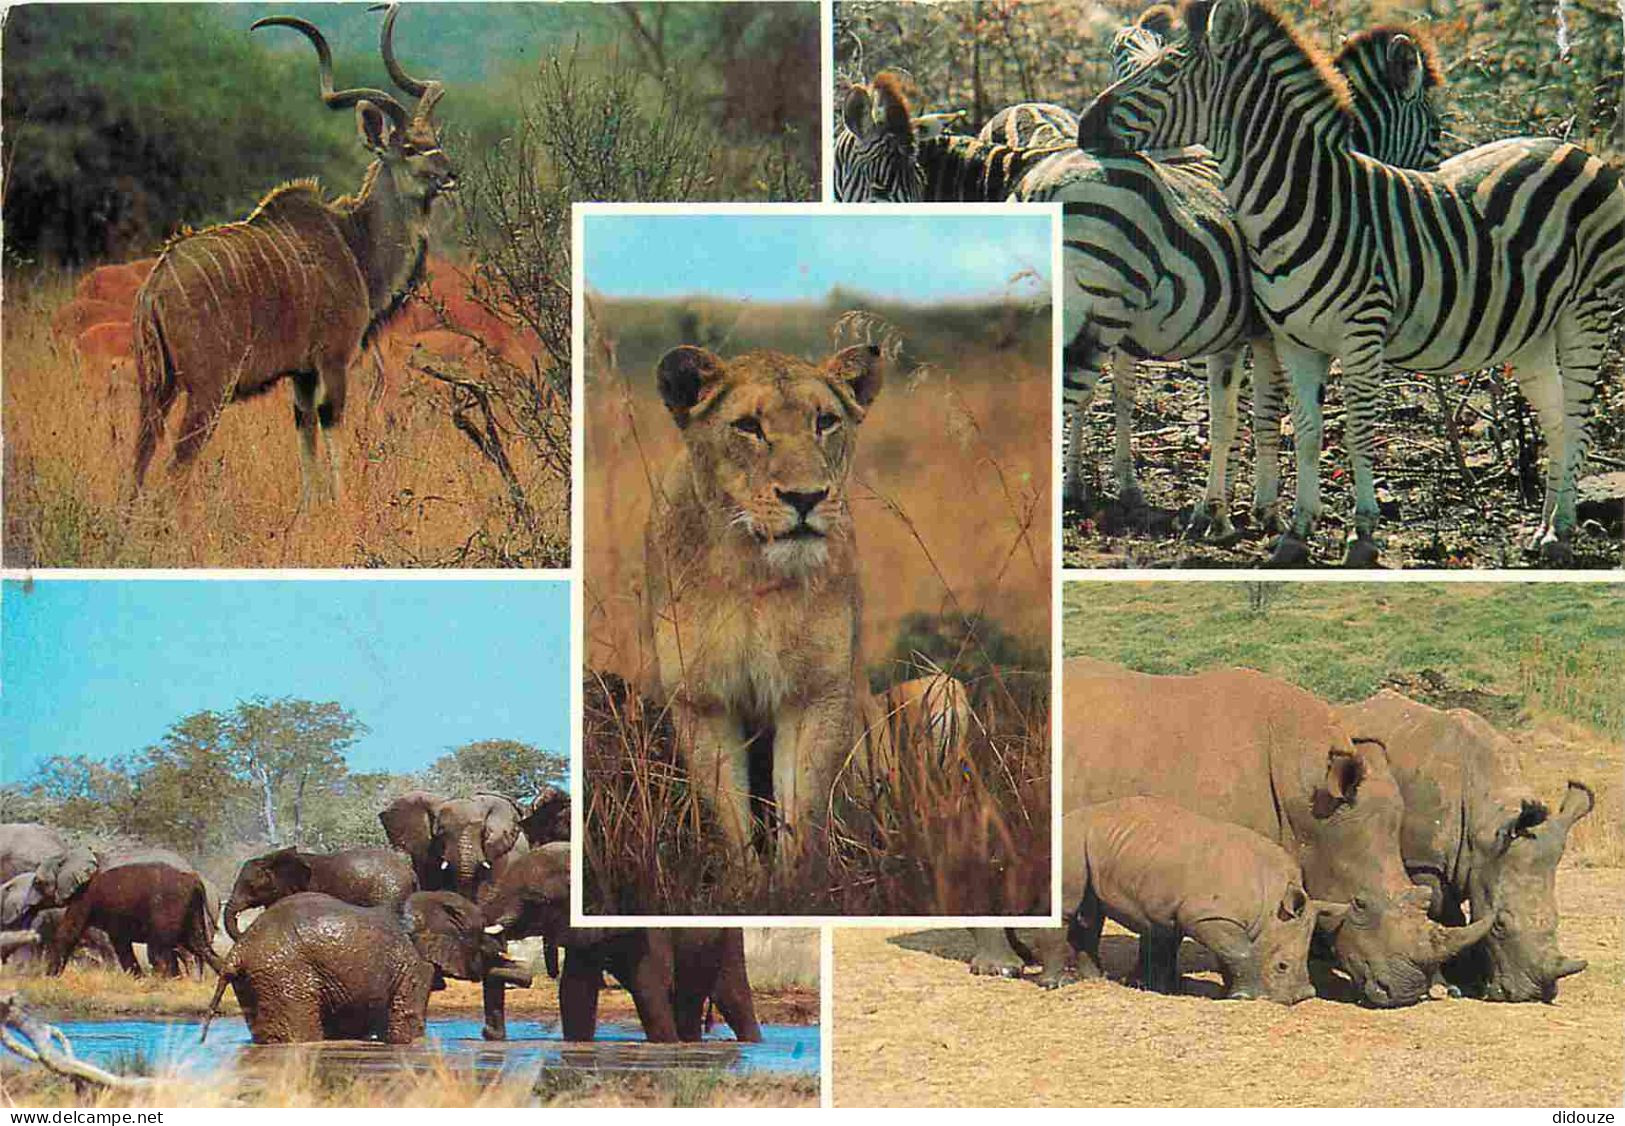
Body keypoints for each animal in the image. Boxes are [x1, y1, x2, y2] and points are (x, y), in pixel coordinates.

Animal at [1338, 690, 1594, 1002]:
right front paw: (1444, 985)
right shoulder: (1423, 860)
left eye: (1558, 920)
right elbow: (1436, 912)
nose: (1533, 994)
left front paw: (1470, 978)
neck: (1486, 821)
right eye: (1500, 925)